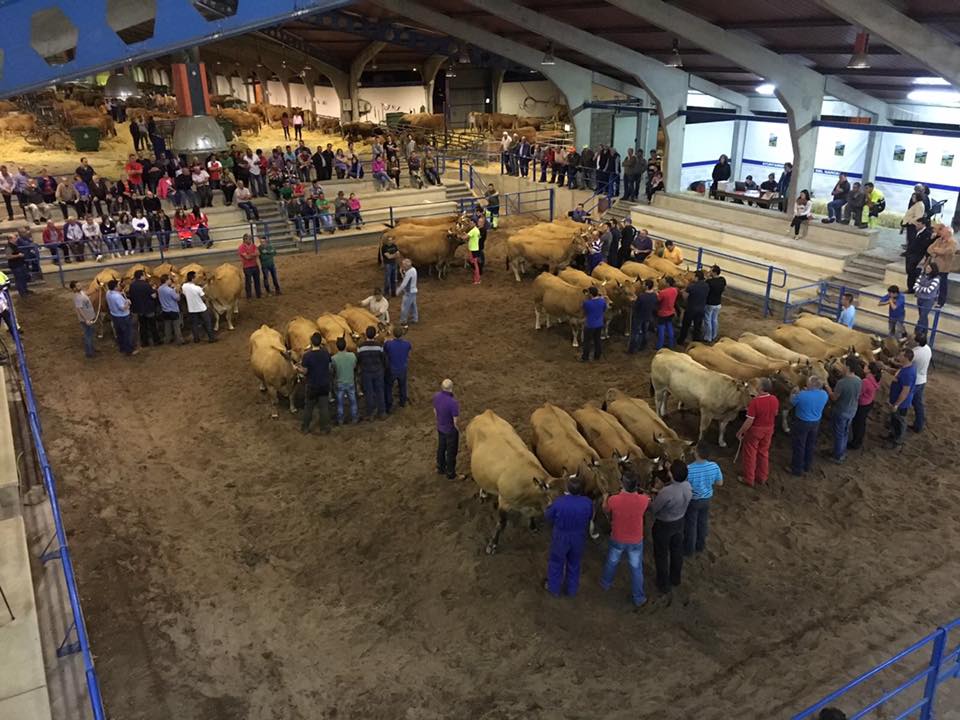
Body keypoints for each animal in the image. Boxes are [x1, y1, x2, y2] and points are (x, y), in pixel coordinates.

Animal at [464, 408, 560, 556]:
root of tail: (487, 413)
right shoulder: (504, 501)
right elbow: (501, 524)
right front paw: (492, 545)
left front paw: (532, 526)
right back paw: (483, 493)